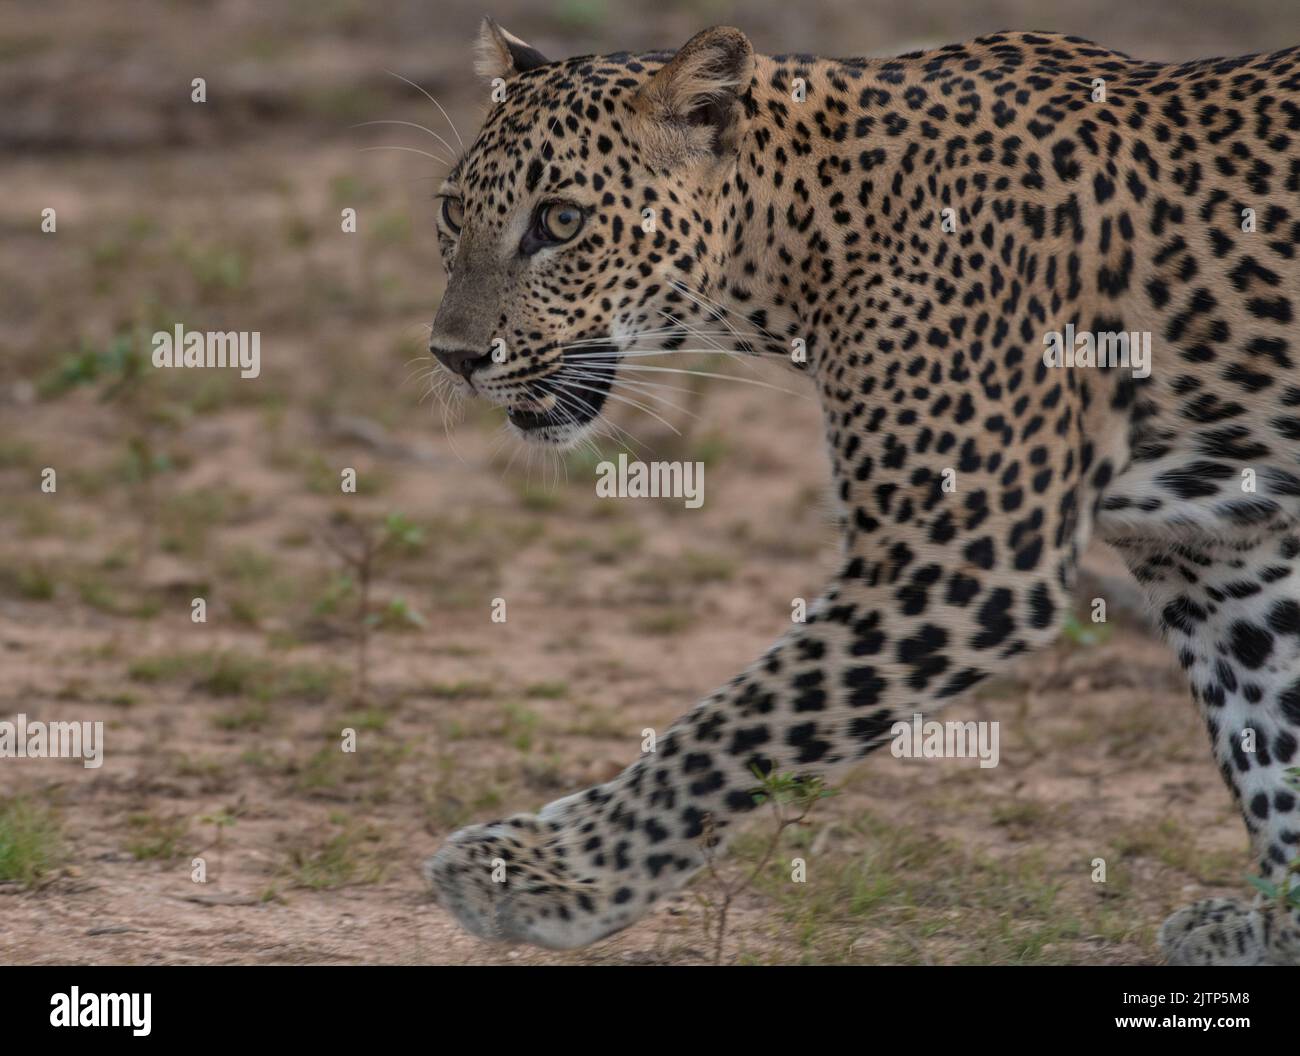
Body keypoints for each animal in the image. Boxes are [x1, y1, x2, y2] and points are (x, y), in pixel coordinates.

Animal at [421, 18, 1294, 967]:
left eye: (561, 221)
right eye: (451, 212)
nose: (453, 358)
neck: (810, 229)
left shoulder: (961, 557)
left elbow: (729, 731)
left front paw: (543, 877)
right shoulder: (1216, 553)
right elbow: (1271, 742)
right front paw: (1276, 927)